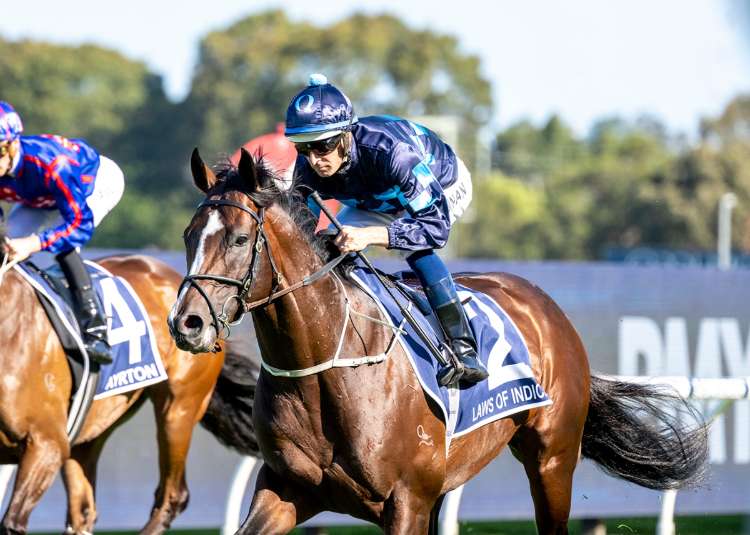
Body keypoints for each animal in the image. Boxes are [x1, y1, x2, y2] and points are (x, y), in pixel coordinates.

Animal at [0, 247, 225, 535]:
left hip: (179, 409)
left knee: (172, 496)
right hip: (89, 432)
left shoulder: (46, 443)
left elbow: (12, 521)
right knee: (83, 511)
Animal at [169, 148, 709, 535]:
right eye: (188, 234)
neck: (325, 367)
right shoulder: (286, 488)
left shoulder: (407, 502)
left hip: (552, 459)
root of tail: (547, 307)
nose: (186, 323)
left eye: (240, 239)